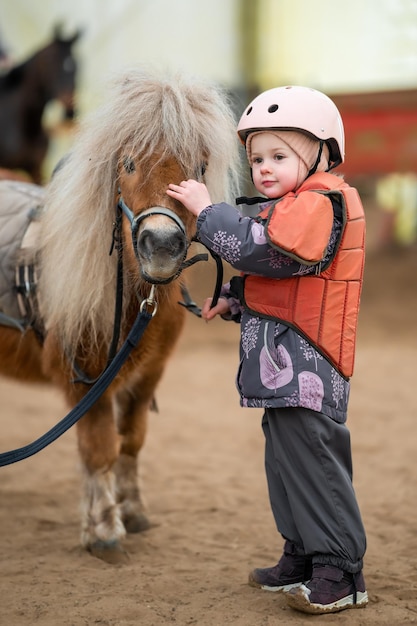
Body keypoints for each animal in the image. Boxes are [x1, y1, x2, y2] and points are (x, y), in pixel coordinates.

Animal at [0, 66, 239, 560]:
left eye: (197, 168)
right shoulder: (84, 380)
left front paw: (133, 510)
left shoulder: (147, 376)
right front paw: (104, 528)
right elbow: (99, 450)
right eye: (128, 164)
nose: (161, 245)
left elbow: (131, 441)